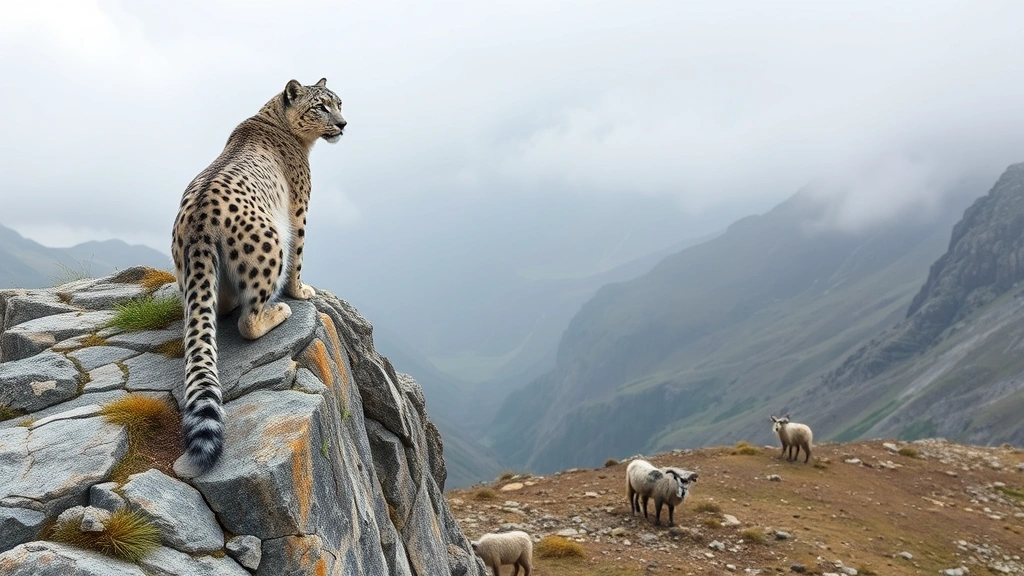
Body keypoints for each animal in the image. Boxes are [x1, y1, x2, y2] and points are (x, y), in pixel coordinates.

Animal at [171, 78, 346, 471]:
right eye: (321, 106)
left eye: (340, 103)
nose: (343, 123)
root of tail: (199, 223)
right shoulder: (300, 210)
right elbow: (300, 256)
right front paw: (301, 291)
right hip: (270, 247)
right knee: (248, 321)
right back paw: (277, 310)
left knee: (217, 308)